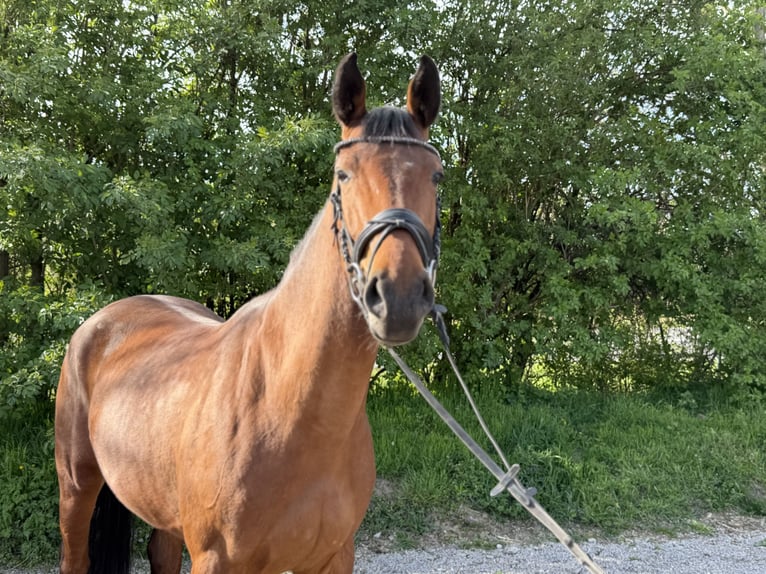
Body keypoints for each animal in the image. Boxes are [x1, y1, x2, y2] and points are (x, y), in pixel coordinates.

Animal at [54, 52, 443, 574]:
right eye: (343, 175)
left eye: (436, 176)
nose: (397, 297)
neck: (288, 406)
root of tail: (100, 323)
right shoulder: (219, 559)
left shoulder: (333, 556)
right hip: (76, 486)